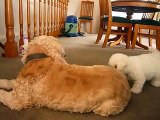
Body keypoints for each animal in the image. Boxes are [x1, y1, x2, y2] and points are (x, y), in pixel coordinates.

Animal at [0, 35, 131, 116]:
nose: (66, 55)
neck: (41, 58)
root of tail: (126, 84)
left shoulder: (19, 100)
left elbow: (4, 96)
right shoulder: (18, 85)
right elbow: (10, 81)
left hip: (104, 108)